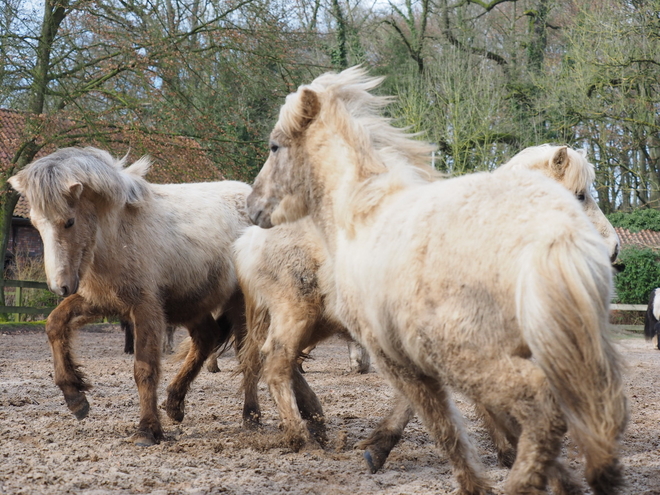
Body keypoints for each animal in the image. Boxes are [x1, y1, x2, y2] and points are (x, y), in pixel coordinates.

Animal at [245, 69, 628, 495]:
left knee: (280, 363)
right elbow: (447, 418)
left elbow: (447, 416)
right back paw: (301, 433)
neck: (359, 216)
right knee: (276, 363)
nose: (614, 251)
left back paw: (310, 428)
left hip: (318, 322)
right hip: (300, 315)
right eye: (581, 194)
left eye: (274, 146)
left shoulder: (408, 349)